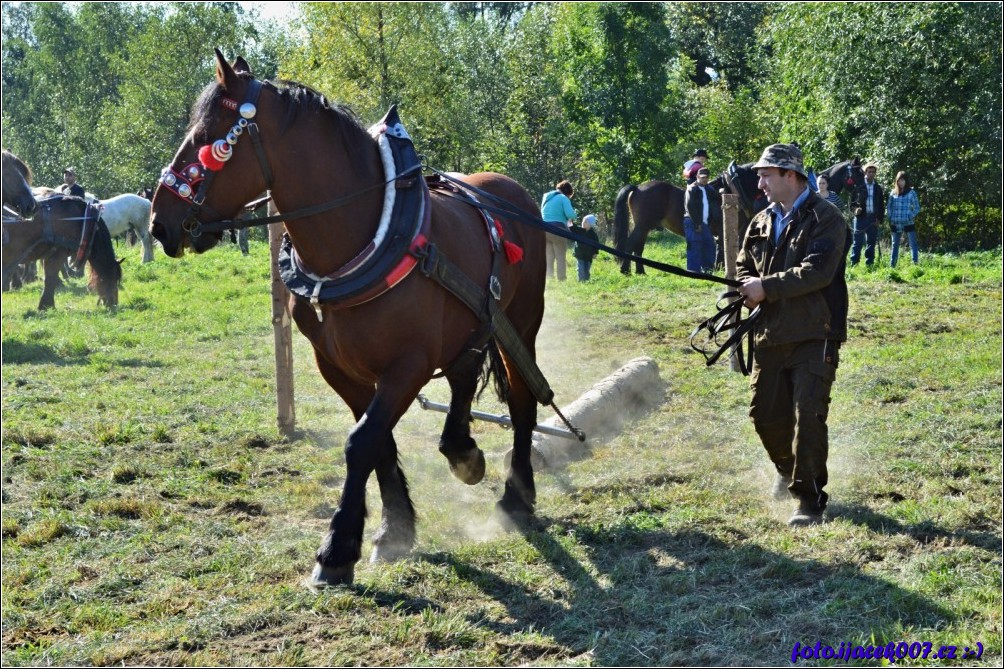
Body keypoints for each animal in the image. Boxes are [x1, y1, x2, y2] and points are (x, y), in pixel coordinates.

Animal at [146, 50, 550, 582]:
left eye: (207, 138)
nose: (159, 223)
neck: (361, 239)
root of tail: (510, 190)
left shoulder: (408, 366)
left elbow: (361, 443)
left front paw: (337, 550)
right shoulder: (336, 366)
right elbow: (379, 444)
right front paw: (393, 529)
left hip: (520, 322)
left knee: (522, 399)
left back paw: (516, 496)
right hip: (474, 324)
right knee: (464, 374)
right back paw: (462, 451)